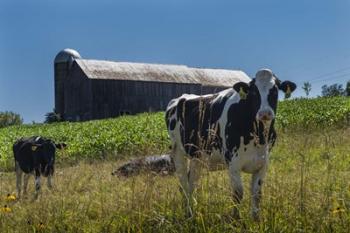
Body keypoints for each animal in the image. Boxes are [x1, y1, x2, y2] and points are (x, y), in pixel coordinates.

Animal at [165, 68, 296, 219]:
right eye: (253, 92)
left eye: (275, 90)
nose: (265, 113)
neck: (259, 136)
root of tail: (179, 98)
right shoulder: (233, 161)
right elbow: (238, 193)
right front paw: (236, 219)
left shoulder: (263, 162)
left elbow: (257, 194)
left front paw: (255, 219)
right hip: (178, 152)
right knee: (184, 184)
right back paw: (188, 213)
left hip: (198, 156)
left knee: (192, 182)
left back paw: (193, 211)